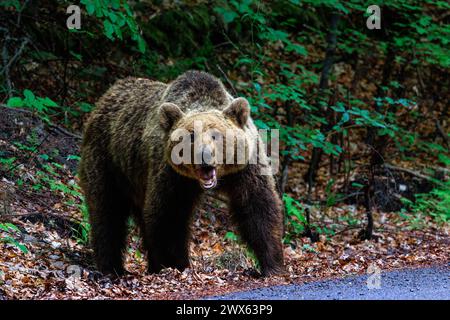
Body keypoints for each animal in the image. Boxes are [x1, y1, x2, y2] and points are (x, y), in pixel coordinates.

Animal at [77, 71, 282, 276]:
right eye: (190, 136)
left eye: (216, 134)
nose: (204, 156)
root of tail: (106, 96)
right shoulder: (171, 175)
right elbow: (169, 216)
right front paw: (175, 264)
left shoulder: (245, 168)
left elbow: (258, 206)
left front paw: (272, 264)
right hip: (107, 161)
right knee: (107, 212)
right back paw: (112, 267)